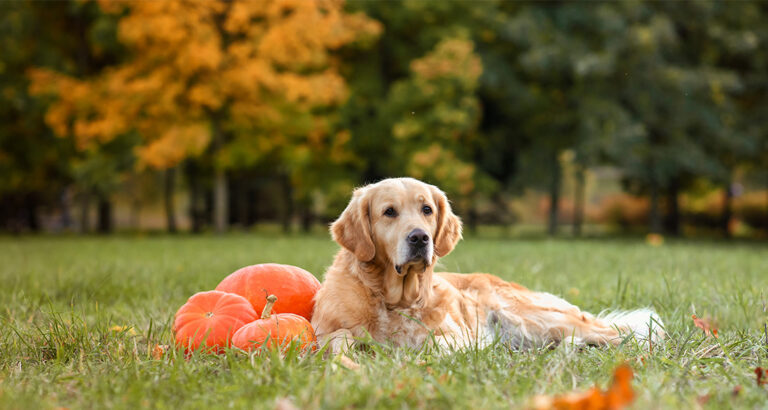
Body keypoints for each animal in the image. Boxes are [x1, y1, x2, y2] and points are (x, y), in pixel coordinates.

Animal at [308, 177, 664, 352]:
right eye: (389, 212)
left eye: (426, 209)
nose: (420, 238)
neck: (395, 299)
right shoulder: (326, 331)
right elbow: (339, 341)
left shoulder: (459, 335)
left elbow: (437, 344)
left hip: (532, 317)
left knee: (622, 333)